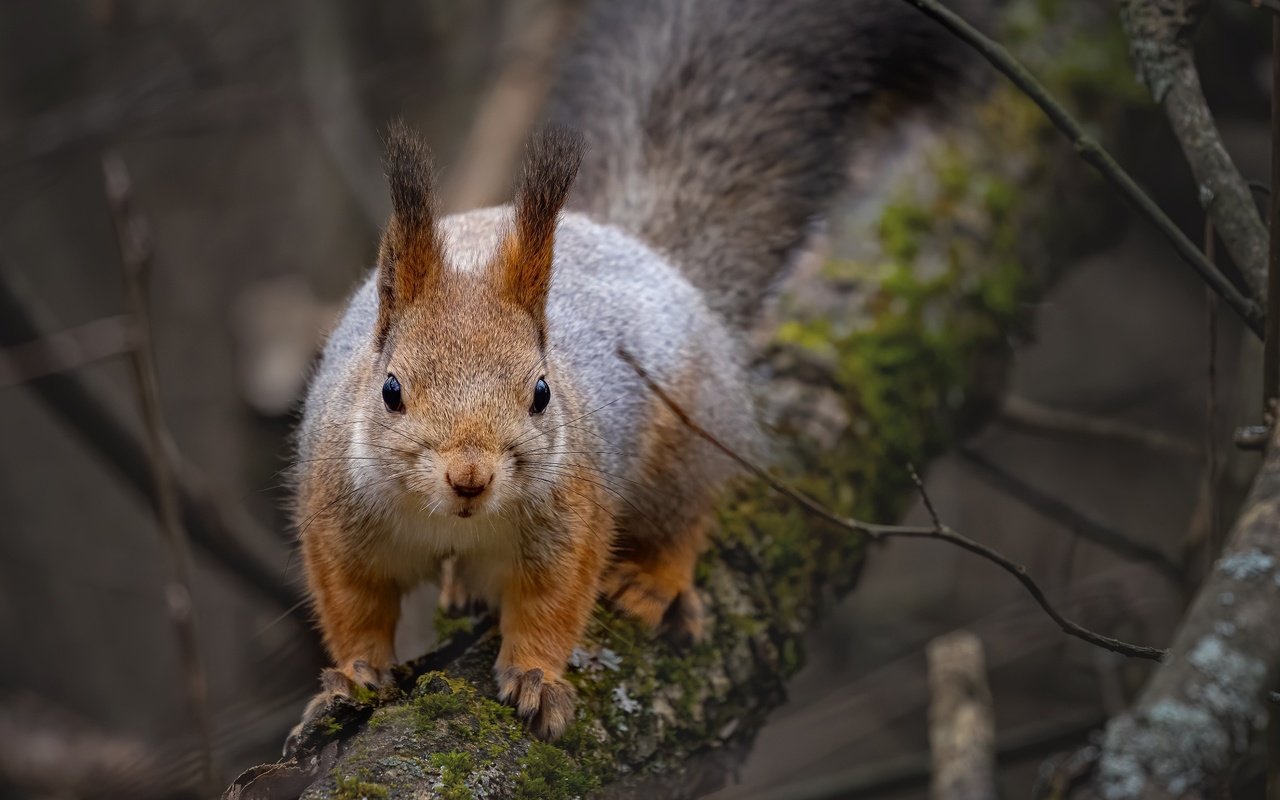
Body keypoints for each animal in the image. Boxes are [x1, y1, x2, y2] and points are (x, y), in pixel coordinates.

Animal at [288, 0, 967, 742]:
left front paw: (536, 680)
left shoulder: (574, 514)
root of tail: (644, 251)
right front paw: (354, 676)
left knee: (685, 517)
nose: (469, 478)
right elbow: (352, 605)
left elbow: (552, 605)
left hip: (684, 443)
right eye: (390, 391)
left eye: (541, 393)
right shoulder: (334, 516)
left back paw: (653, 582)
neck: (455, 521)